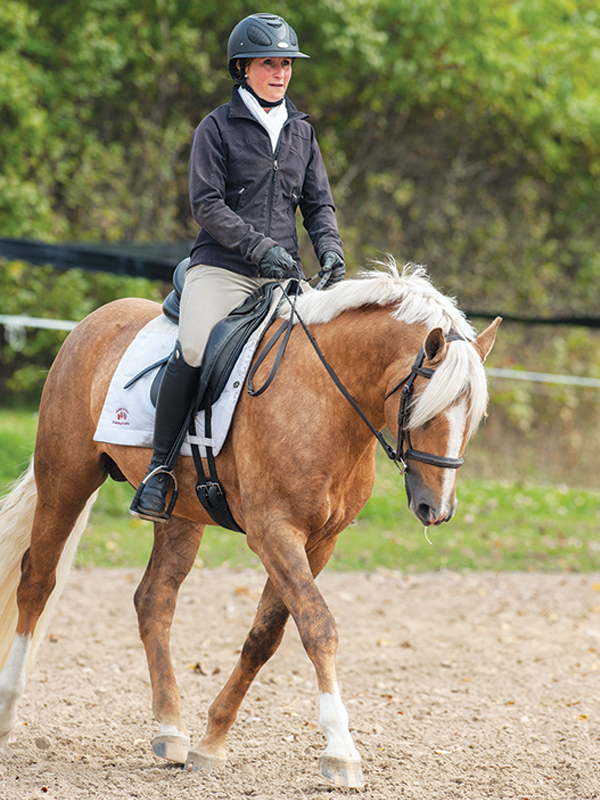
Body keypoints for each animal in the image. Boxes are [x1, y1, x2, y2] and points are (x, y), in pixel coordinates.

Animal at [0, 259, 500, 788]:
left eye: (473, 417)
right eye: (424, 410)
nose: (436, 509)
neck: (324, 396)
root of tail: (95, 321)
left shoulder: (319, 542)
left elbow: (266, 636)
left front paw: (212, 742)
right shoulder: (274, 533)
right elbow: (318, 627)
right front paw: (341, 751)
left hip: (179, 513)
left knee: (154, 599)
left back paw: (171, 729)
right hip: (66, 478)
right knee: (37, 582)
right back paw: (8, 716)